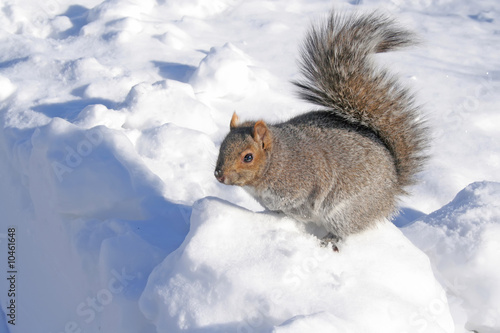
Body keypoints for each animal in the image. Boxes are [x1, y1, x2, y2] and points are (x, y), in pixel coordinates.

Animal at [213, 9, 428, 249]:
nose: (219, 175)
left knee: (345, 229)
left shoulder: (304, 181)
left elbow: (302, 204)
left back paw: (329, 241)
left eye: (248, 157)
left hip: (346, 211)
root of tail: (393, 186)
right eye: (221, 146)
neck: (278, 160)